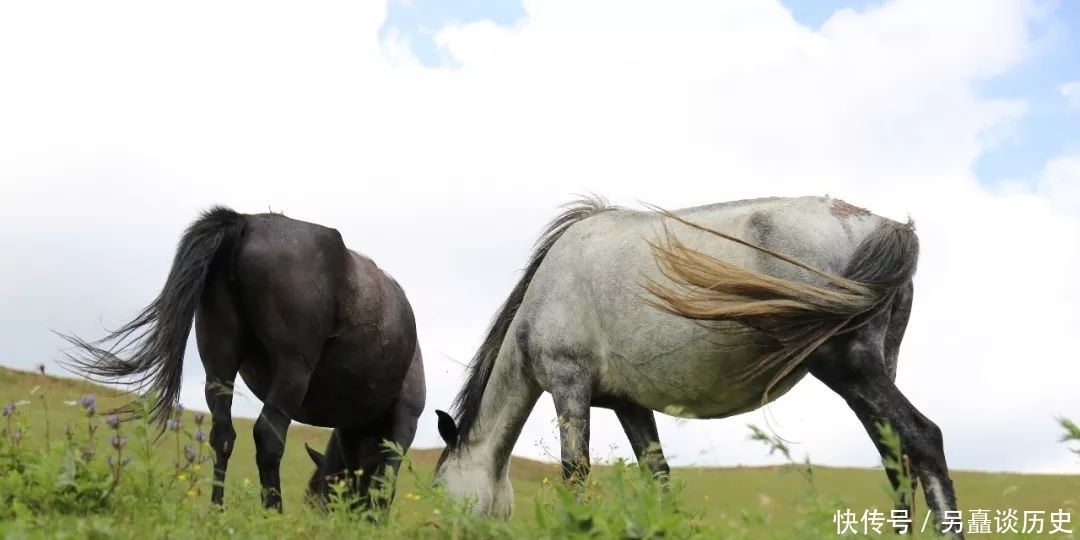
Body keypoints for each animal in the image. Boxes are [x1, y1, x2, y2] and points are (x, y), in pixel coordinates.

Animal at [56, 206, 423, 514]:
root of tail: (247, 222)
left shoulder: (349, 429)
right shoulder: (404, 421)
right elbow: (383, 480)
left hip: (219, 365)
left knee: (222, 435)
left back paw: (216, 511)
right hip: (293, 371)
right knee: (268, 435)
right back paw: (272, 512)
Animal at [434, 196, 967, 537]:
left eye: (439, 497)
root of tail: (884, 226)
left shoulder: (568, 386)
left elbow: (576, 473)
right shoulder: (629, 405)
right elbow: (658, 475)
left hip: (847, 368)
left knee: (923, 438)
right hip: (873, 374)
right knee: (896, 458)